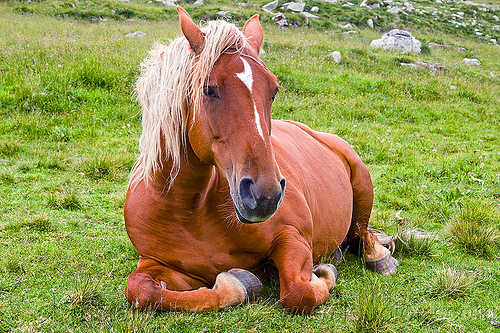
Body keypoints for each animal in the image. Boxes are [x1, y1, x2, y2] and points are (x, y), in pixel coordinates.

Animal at [125, 7, 398, 314]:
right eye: (208, 89)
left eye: (274, 90)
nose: (265, 194)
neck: (188, 208)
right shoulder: (158, 264)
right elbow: (141, 289)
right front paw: (239, 283)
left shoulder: (292, 236)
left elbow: (298, 292)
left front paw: (324, 273)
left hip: (362, 186)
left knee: (362, 232)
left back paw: (379, 258)